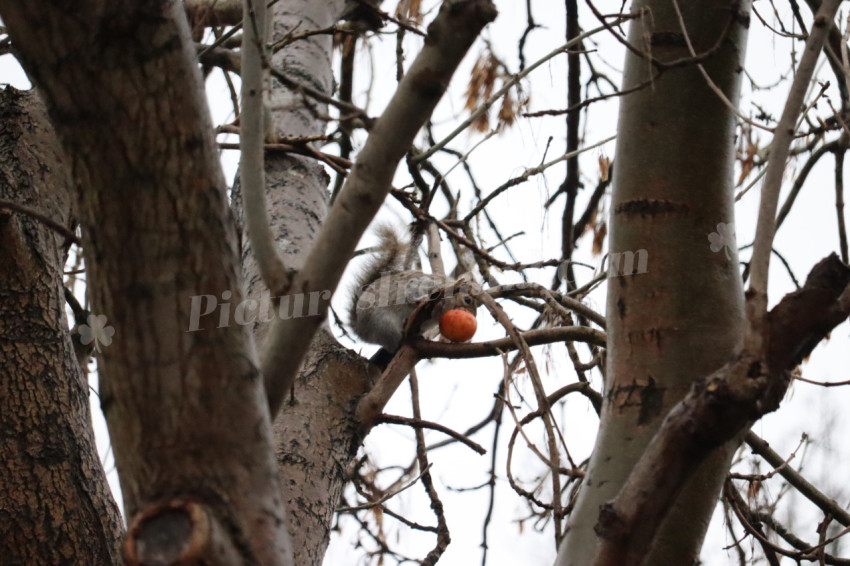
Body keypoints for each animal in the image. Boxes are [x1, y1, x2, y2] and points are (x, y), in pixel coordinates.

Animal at [349, 225, 480, 366]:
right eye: (467, 300)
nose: (472, 315)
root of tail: (358, 328)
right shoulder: (424, 284)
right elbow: (412, 293)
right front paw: (420, 299)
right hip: (383, 325)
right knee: (392, 343)